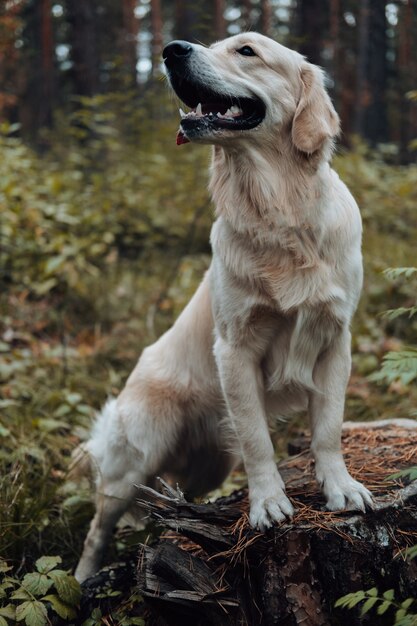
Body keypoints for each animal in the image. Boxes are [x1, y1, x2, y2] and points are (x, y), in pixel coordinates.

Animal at [74, 33, 370, 580]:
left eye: (246, 51)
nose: (171, 49)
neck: (279, 211)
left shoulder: (335, 341)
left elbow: (328, 428)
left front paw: (340, 487)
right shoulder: (236, 348)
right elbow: (257, 438)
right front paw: (269, 502)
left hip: (209, 466)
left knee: (176, 501)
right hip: (138, 453)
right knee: (98, 525)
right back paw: (83, 579)